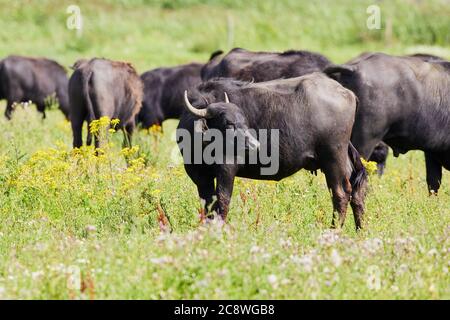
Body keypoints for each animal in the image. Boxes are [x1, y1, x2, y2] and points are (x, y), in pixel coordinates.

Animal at [178, 74, 368, 230]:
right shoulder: (199, 175)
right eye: (228, 123)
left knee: (341, 193)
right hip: (343, 158)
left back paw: (334, 230)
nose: (254, 144)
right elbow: (208, 203)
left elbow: (223, 199)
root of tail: (346, 92)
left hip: (333, 158)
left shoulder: (227, 168)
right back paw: (360, 230)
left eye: (243, 121)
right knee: (356, 191)